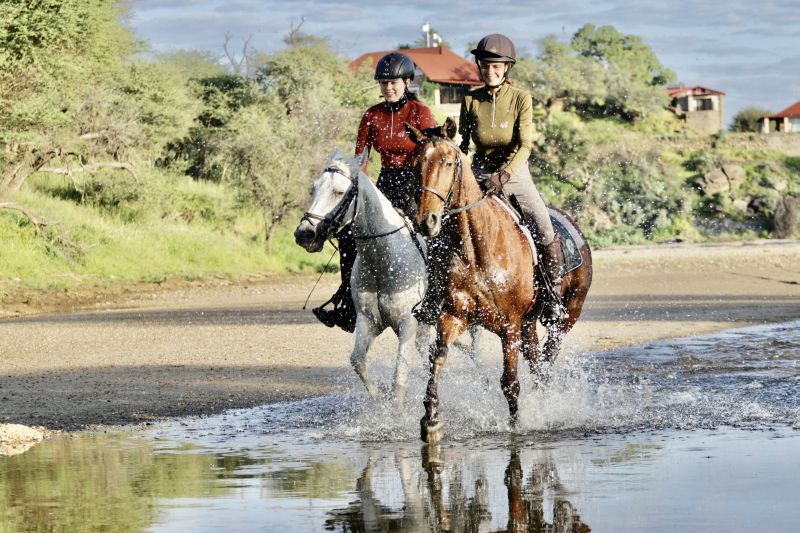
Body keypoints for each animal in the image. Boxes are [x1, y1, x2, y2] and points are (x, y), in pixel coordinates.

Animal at [294, 150, 432, 400]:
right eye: (313, 189)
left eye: (339, 192)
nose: (304, 234)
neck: (383, 261)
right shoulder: (369, 321)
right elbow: (357, 361)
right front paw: (379, 399)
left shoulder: (407, 323)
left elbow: (399, 380)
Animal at [410, 120, 592, 440]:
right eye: (417, 164)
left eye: (447, 162)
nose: (426, 220)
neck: (476, 246)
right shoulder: (454, 315)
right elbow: (438, 356)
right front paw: (431, 418)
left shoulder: (509, 326)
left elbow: (509, 381)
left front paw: (516, 427)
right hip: (529, 325)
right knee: (537, 364)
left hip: (565, 317)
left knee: (547, 361)